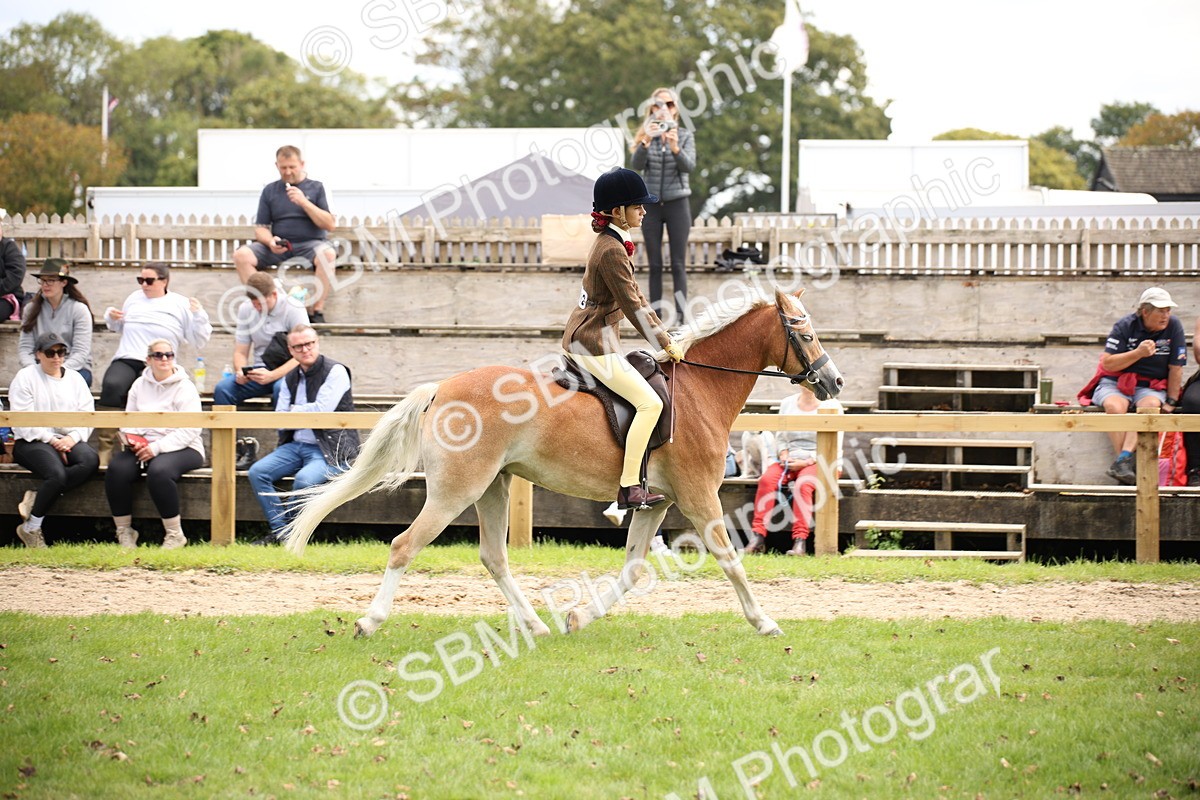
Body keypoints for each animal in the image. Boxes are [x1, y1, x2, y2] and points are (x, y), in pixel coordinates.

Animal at [282, 286, 844, 638]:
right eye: (804, 332)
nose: (834, 381)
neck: (699, 388)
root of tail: (441, 388)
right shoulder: (700, 498)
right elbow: (730, 560)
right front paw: (765, 622)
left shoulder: (657, 503)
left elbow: (633, 570)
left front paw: (578, 618)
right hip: (456, 491)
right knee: (403, 546)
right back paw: (369, 621)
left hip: (493, 488)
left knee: (494, 556)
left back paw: (533, 623)